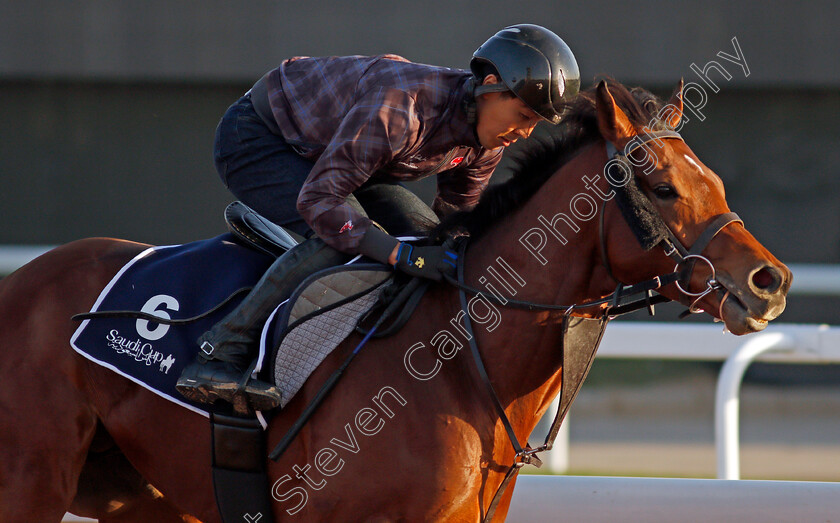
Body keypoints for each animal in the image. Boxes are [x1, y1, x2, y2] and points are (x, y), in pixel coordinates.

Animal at [0, 79, 788, 523]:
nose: (770, 281)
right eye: (662, 186)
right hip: (31, 481)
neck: (459, 367)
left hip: (140, 497)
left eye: (713, 179)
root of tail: (20, 281)